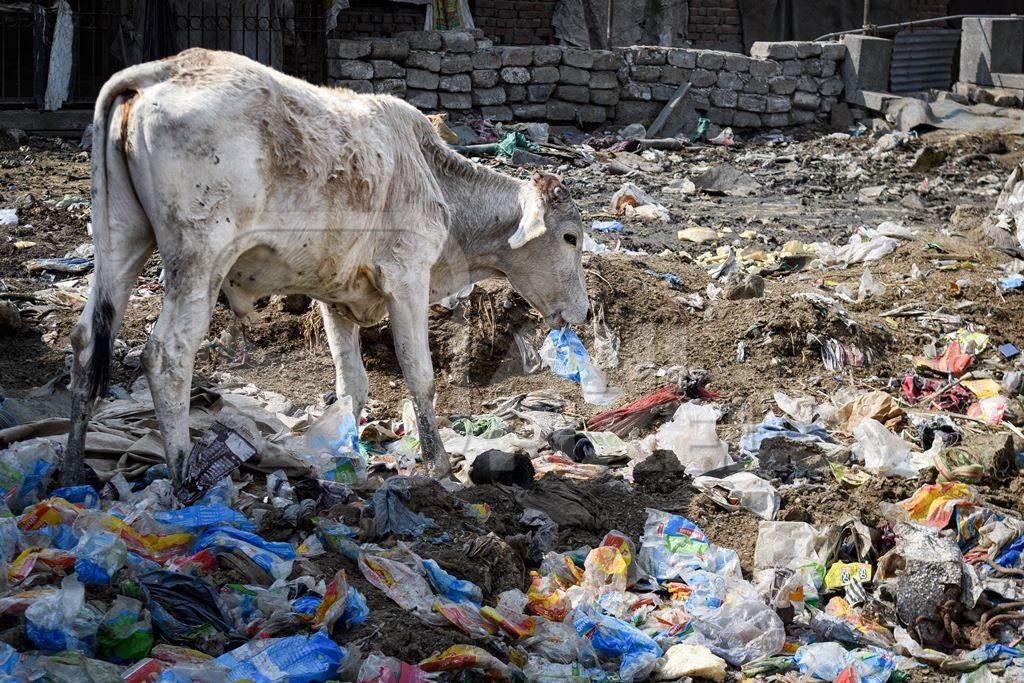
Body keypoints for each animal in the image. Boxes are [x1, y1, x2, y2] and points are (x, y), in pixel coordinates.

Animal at [64, 49, 589, 491]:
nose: (583, 312)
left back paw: (73, 470)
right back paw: (182, 475)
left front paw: (348, 456)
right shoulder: (407, 278)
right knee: (167, 354)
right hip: (199, 256)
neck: (434, 177)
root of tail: (163, 71)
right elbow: (419, 374)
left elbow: (350, 385)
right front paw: (439, 465)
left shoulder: (337, 296)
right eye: (570, 237)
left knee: (87, 338)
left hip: (120, 240)